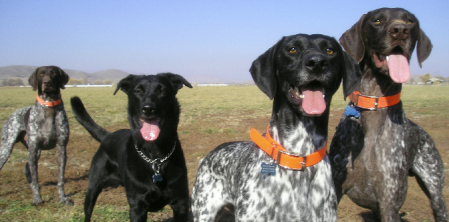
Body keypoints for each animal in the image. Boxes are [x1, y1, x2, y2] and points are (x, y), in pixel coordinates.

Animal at [0, 65, 71, 205]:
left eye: (54, 73)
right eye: (41, 74)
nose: (47, 83)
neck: (49, 105)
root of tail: (12, 115)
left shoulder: (61, 148)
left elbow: (60, 179)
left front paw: (62, 198)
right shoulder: (33, 149)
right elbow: (36, 177)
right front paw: (37, 199)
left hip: (35, 152)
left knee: (27, 169)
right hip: (7, 149)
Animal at [72, 73, 192, 222]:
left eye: (162, 91)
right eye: (138, 91)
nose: (148, 108)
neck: (155, 157)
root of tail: (108, 136)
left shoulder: (180, 203)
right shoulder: (137, 207)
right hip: (93, 187)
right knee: (88, 211)